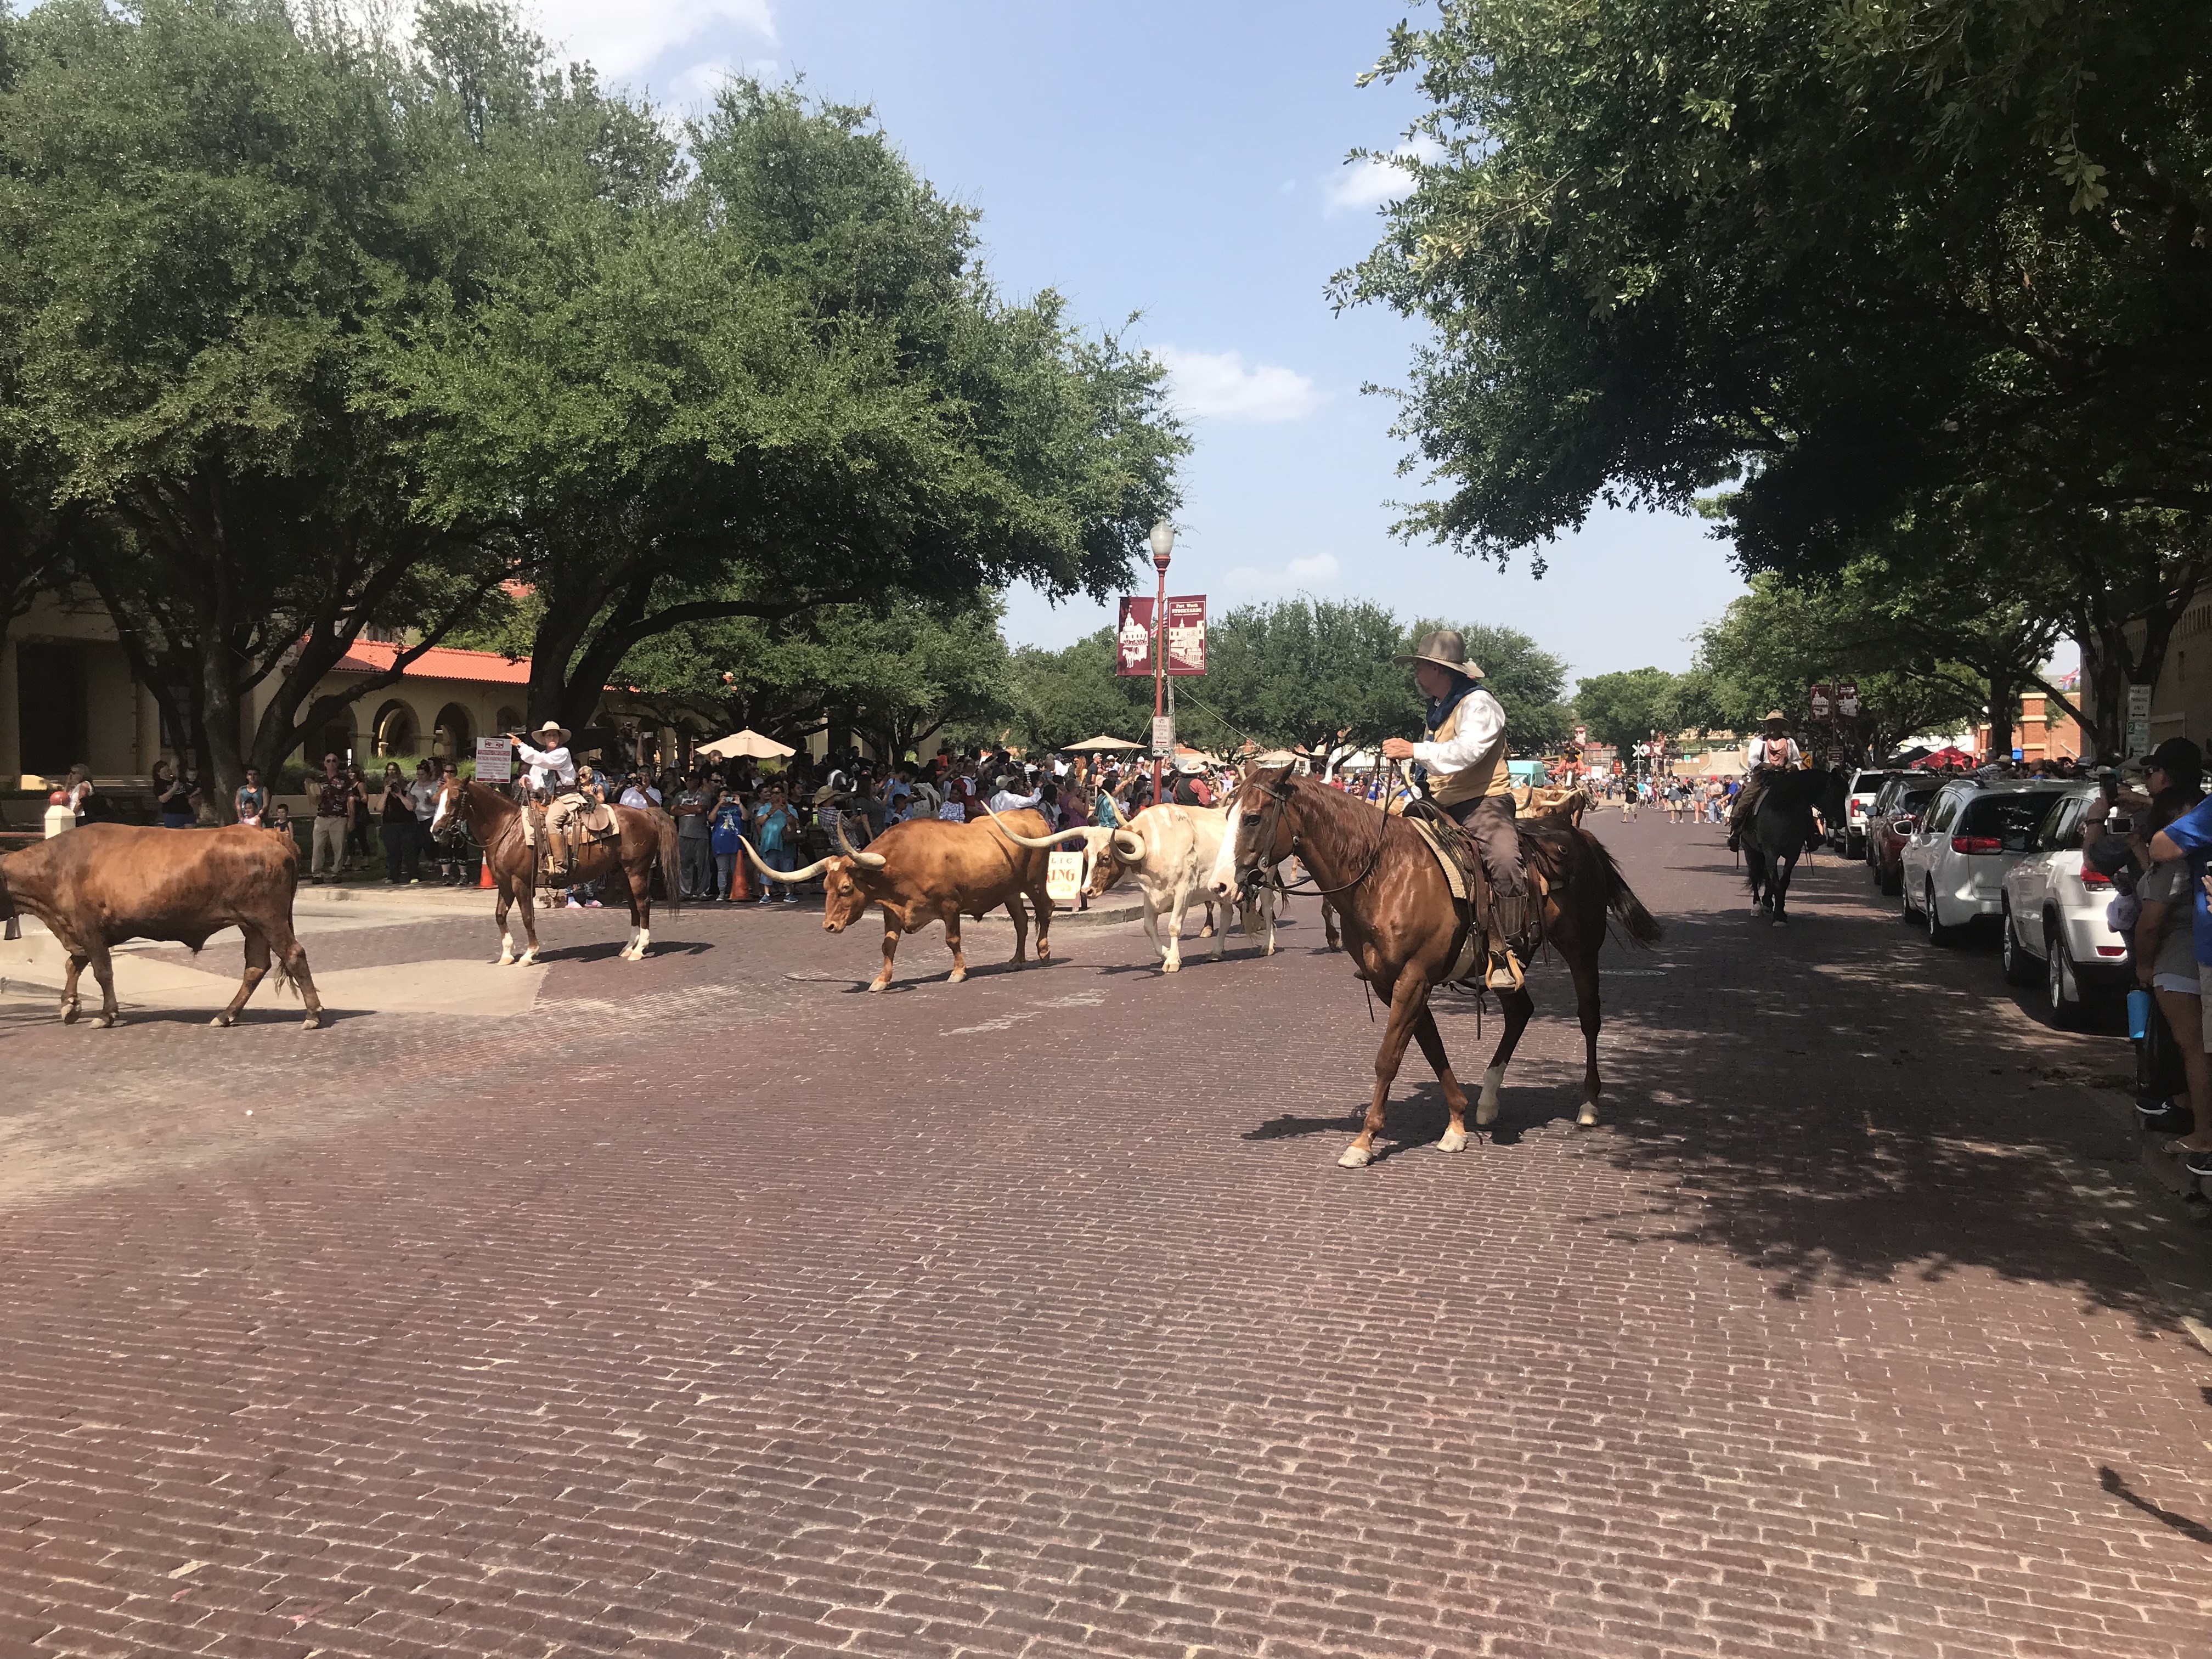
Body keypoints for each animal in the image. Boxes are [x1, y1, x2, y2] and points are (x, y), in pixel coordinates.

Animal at [0, 827, 323, 1035]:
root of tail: (268, 833)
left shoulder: (88, 928)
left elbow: (102, 971)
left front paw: (106, 1015)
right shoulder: (79, 931)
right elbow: (73, 965)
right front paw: (70, 1007)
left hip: (268, 917)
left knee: (293, 954)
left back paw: (313, 1015)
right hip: (252, 924)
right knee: (256, 966)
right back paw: (225, 1016)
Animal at [427, 783, 676, 969]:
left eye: (454, 800)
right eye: (436, 799)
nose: (436, 831)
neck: (507, 829)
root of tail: (644, 812)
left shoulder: (520, 883)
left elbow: (527, 917)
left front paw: (529, 954)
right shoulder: (504, 883)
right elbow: (500, 915)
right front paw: (507, 954)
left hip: (636, 871)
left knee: (643, 904)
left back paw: (640, 949)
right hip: (621, 874)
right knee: (634, 906)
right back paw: (629, 947)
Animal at [738, 814, 1057, 995]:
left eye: (846, 888)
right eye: (826, 887)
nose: (829, 925)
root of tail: (1032, 814)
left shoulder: (950, 906)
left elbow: (952, 939)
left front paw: (958, 972)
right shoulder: (891, 910)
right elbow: (888, 946)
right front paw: (882, 980)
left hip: (1034, 883)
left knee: (1045, 908)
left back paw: (1043, 952)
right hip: (1010, 891)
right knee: (1021, 921)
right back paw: (1016, 961)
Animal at [1212, 770, 1663, 1167]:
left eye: (1253, 818)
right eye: (1226, 814)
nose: (1220, 885)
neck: (1384, 874)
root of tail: (1578, 835)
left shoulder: (1413, 979)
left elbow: (1389, 1057)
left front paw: (1363, 1141)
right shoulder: (1394, 983)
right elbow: (1430, 1048)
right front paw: (1457, 1123)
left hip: (1582, 949)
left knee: (1589, 1017)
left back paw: (1588, 1103)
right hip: (1503, 966)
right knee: (1521, 1012)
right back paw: (1488, 1101)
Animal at [1734, 765, 1840, 924]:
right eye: (1835, 793)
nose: (1841, 822)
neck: (1784, 809)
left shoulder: (1793, 854)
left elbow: (1783, 882)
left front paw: (1780, 913)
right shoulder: (1771, 852)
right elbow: (1775, 882)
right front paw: (1777, 915)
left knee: (1766, 875)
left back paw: (1767, 903)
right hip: (1750, 849)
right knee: (1755, 875)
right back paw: (1757, 906)